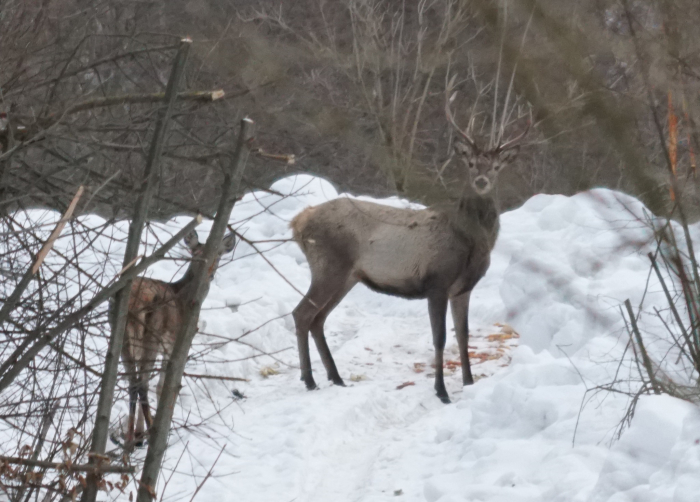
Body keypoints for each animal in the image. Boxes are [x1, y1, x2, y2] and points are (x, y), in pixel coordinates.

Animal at [110, 229, 237, 446]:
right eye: (196, 254)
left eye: (218, 254)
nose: (210, 274)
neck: (185, 299)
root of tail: (133, 303)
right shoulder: (175, 344)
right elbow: (162, 386)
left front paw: (139, 434)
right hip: (151, 336)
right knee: (142, 384)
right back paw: (152, 431)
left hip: (121, 335)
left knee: (133, 383)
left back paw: (131, 438)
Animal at [288, 82, 528, 404]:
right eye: (471, 163)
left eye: (496, 167)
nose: (481, 181)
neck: (470, 243)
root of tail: (298, 222)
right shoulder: (436, 282)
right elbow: (439, 338)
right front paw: (441, 391)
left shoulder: (463, 288)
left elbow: (463, 334)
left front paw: (468, 382)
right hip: (328, 266)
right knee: (302, 314)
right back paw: (310, 379)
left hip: (348, 276)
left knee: (318, 318)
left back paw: (335, 378)